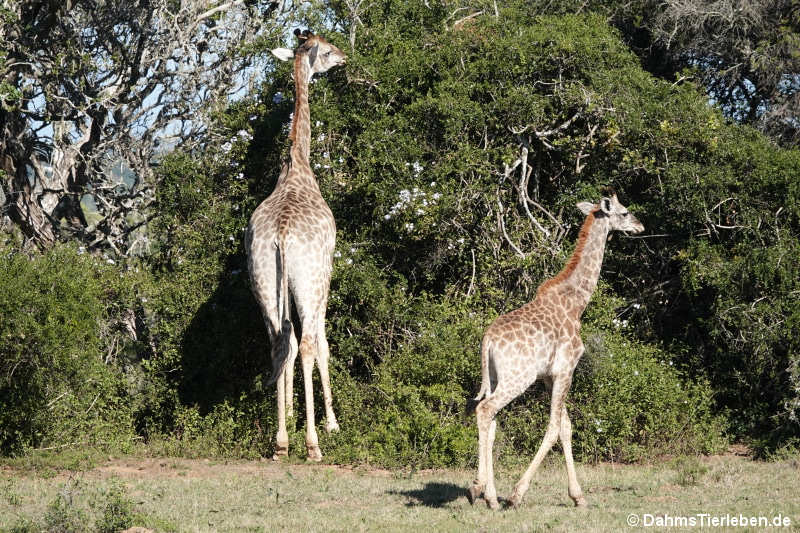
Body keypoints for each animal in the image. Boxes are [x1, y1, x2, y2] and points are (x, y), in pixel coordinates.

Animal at [467, 193, 644, 510]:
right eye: (625, 212)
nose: (640, 226)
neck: (577, 302)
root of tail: (487, 339)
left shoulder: (550, 376)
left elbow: (565, 426)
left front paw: (578, 496)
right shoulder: (566, 368)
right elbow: (553, 428)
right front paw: (518, 494)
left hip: (497, 378)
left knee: (491, 418)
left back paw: (488, 495)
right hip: (518, 378)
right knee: (485, 410)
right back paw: (481, 490)